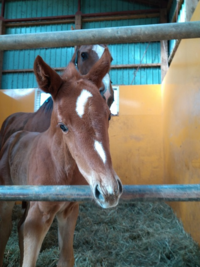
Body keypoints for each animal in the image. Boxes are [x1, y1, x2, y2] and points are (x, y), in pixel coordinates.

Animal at [0, 48, 122, 267]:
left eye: (108, 116)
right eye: (62, 125)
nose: (109, 191)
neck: (59, 169)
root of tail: (16, 135)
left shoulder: (69, 211)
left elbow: (66, 259)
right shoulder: (38, 218)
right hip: (7, 199)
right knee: (5, 230)